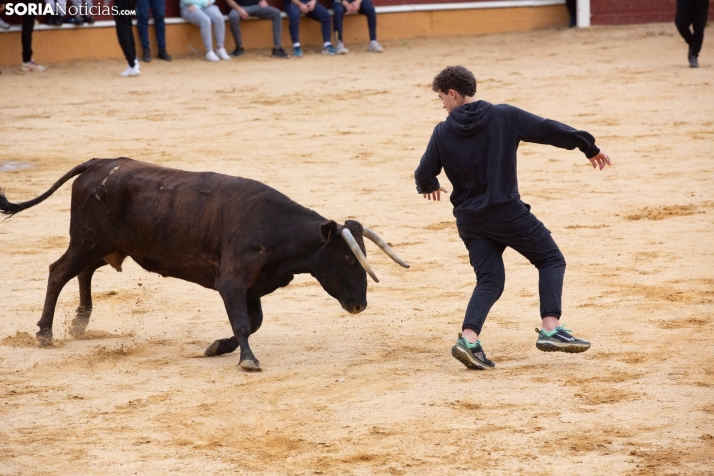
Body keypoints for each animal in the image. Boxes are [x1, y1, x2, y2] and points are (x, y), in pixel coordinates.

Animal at [0, 158, 406, 370]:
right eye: (347, 258)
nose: (360, 305)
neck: (273, 228)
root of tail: (101, 163)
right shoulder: (232, 282)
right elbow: (243, 322)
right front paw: (247, 360)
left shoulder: (252, 287)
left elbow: (253, 322)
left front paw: (217, 347)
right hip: (86, 241)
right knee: (58, 272)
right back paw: (46, 333)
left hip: (105, 247)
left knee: (81, 272)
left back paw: (81, 324)